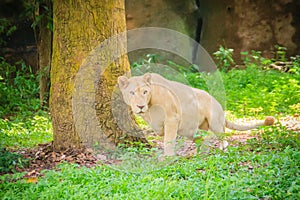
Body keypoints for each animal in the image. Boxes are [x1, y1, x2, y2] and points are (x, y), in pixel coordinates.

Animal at [117, 72, 274, 155]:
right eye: (131, 93)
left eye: (145, 92)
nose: (140, 106)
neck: (149, 107)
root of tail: (219, 105)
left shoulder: (172, 118)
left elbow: (168, 140)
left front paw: (167, 157)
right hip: (191, 129)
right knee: (201, 138)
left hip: (215, 121)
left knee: (222, 135)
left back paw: (221, 147)